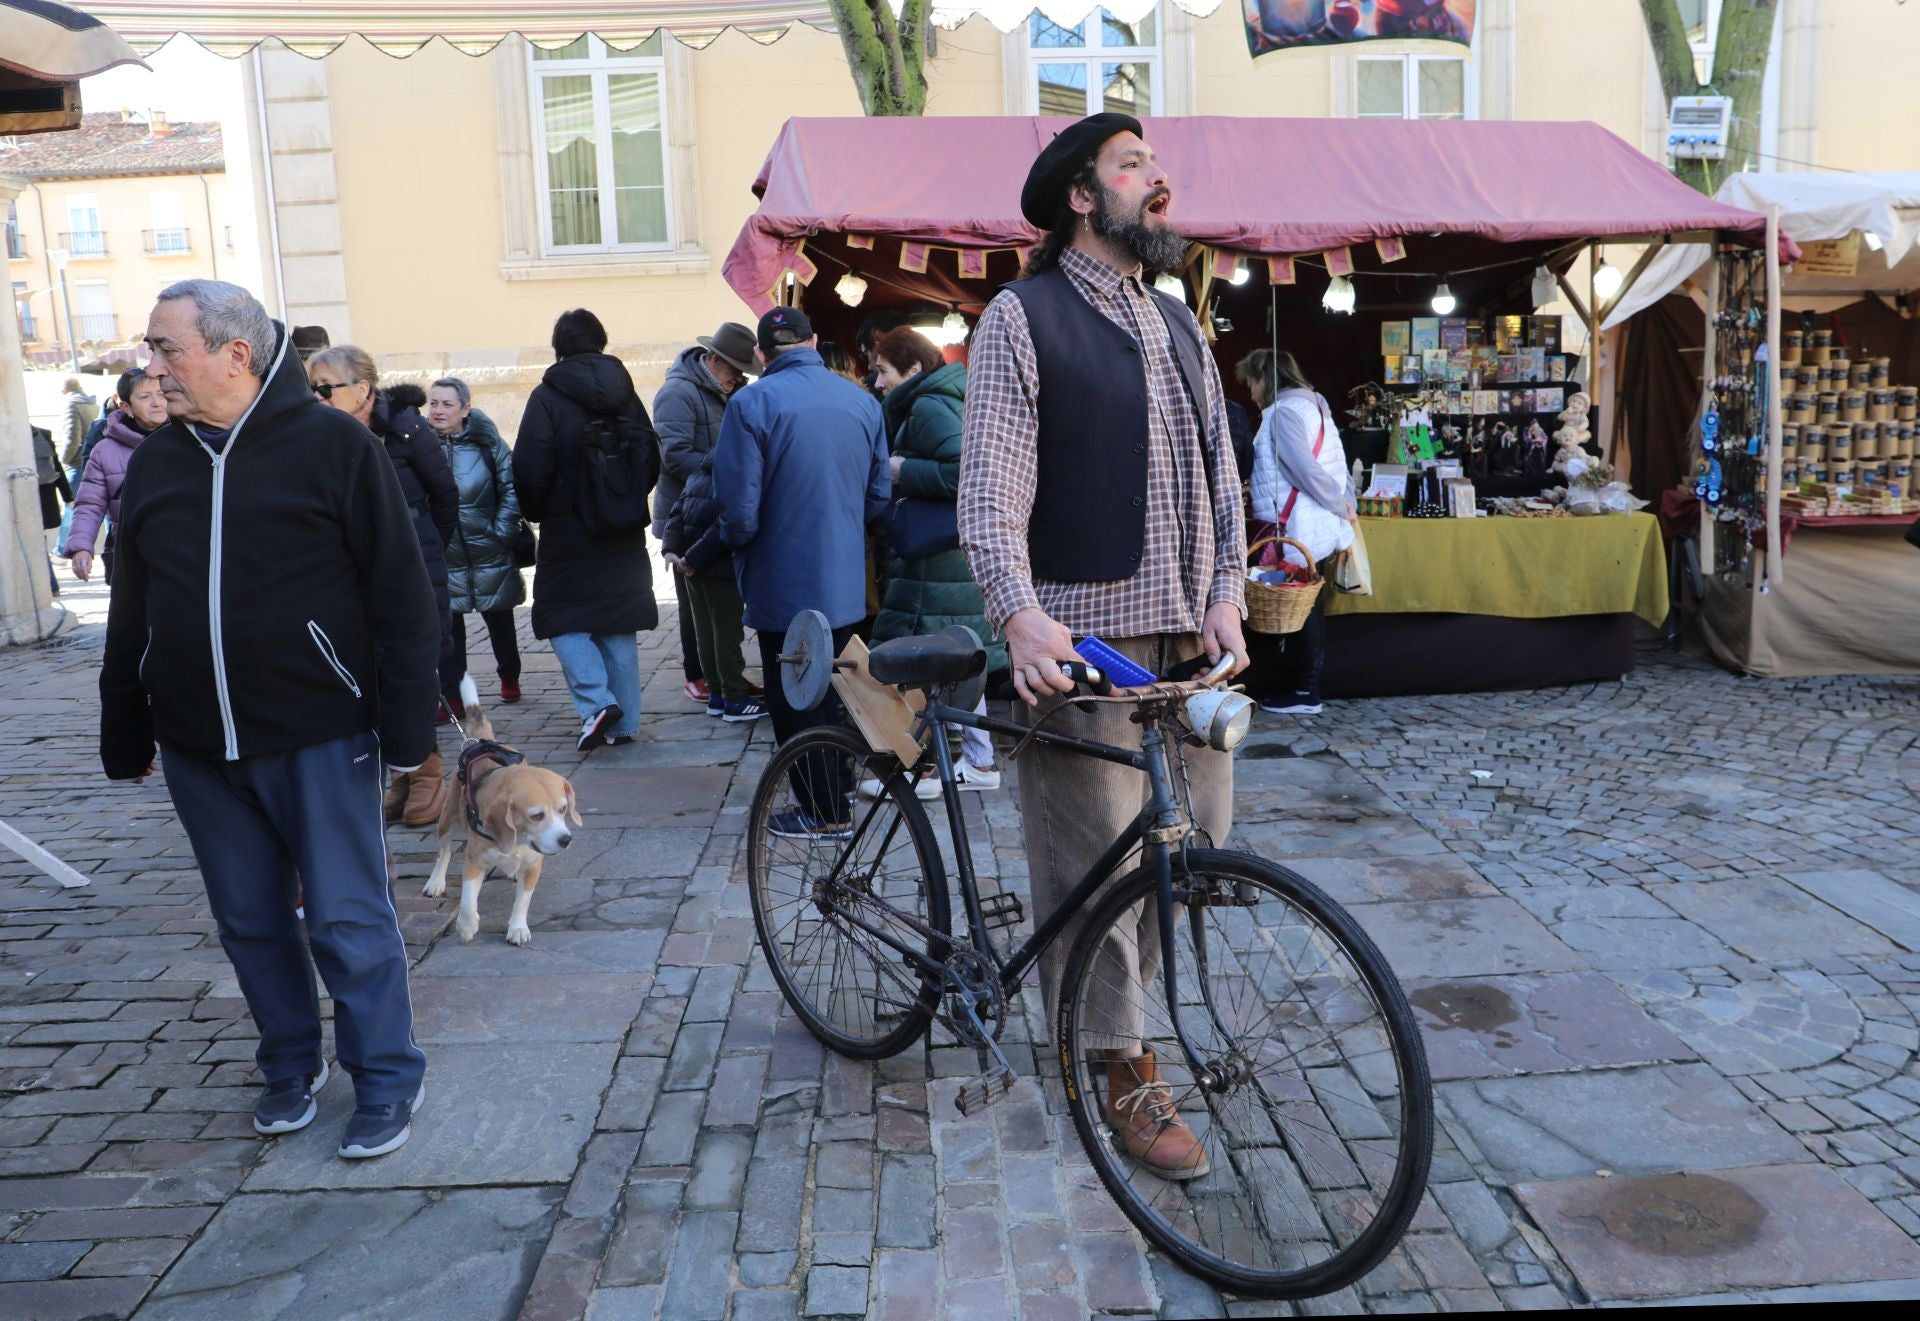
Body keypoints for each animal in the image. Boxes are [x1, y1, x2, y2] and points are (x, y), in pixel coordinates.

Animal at [430, 675, 583, 944]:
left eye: (563, 809)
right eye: (536, 815)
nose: (566, 840)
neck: (518, 840)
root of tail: (478, 744)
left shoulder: (533, 866)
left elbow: (523, 901)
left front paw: (518, 928)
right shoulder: (474, 862)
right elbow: (467, 900)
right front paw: (466, 926)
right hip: (447, 820)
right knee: (444, 852)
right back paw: (436, 881)